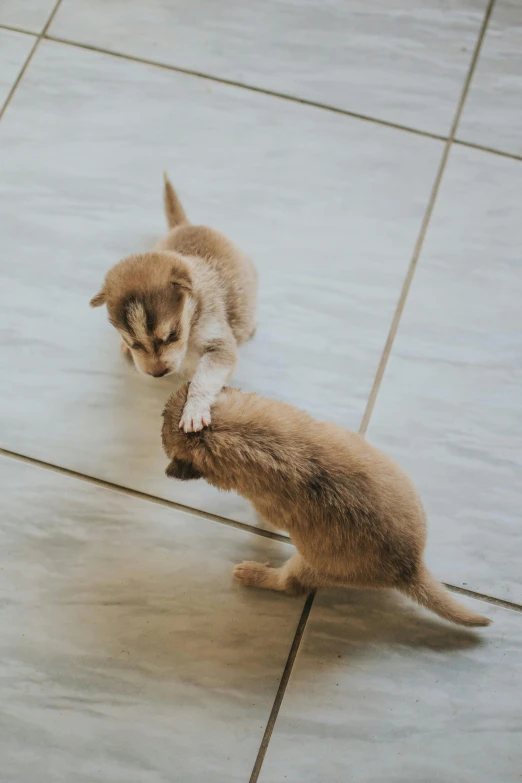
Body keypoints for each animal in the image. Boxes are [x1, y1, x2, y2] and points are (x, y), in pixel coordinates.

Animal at [93, 176, 258, 434]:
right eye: (133, 343)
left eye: (172, 335)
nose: (157, 374)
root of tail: (185, 224)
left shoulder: (220, 346)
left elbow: (203, 379)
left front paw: (194, 410)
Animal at [160, 388, 490, 632]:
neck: (226, 432)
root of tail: (411, 567)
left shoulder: (265, 505)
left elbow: (263, 516)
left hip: (308, 565)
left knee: (289, 584)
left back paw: (254, 573)